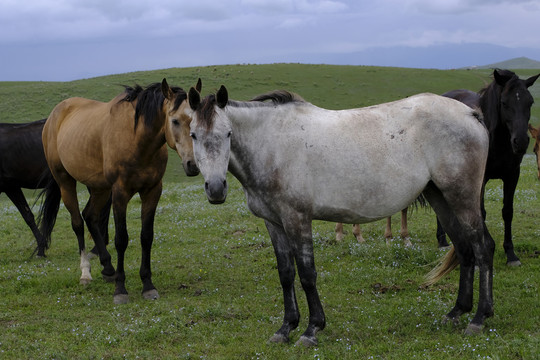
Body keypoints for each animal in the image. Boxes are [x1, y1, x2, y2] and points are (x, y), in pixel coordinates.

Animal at [0, 119, 110, 258]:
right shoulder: (11, 187)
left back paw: (97, 248)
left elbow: (28, 216)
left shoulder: (10, 187)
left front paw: (41, 249)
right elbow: (28, 216)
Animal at [42, 79, 200, 304]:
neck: (137, 140)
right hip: (65, 181)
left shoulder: (152, 191)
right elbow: (121, 239)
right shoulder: (120, 193)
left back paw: (108, 268)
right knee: (78, 223)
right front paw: (121, 289)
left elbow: (146, 236)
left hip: (99, 188)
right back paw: (86, 273)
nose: (192, 164)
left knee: (90, 216)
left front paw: (148, 285)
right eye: (175, 121)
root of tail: (55, 114)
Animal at [188, 86, 496, 346]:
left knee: (483, 248)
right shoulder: (273, 222)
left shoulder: (297, 218)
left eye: (228, 133)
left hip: (461, 197)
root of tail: (470, 113)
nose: (216, 188)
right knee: (464, 249)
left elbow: (307, 274)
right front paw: (285, 328)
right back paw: (456, 312)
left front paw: (311, 330)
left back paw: (479, 318)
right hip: (440, 197)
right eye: (193, 135)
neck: (271, 145)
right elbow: (286, 273)